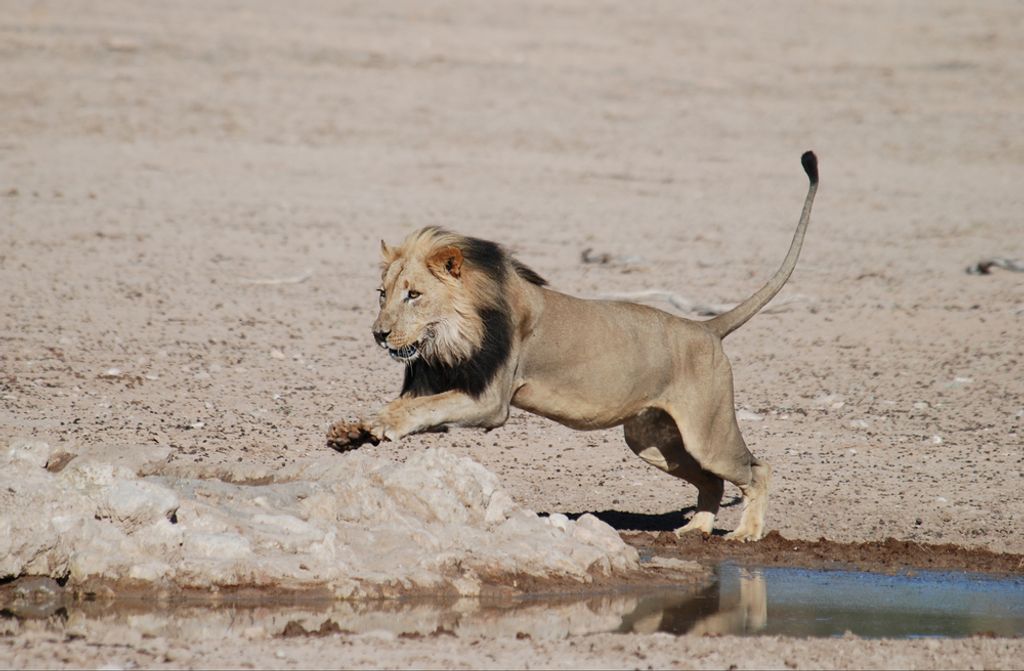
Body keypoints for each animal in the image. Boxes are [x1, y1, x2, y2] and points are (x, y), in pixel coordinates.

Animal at [327, 152, 819, 541]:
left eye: (413, 295)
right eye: (382, 294)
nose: (378, 333)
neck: (449, 335)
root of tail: (706, 328)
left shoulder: (490, 402)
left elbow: (422, 410)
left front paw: (382, 424)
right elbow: (413, 407)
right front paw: (353, 432)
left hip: (707, 435)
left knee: (757, 469)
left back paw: (746, 533)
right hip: (651, 440)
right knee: (711, 482)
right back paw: (696, 528)